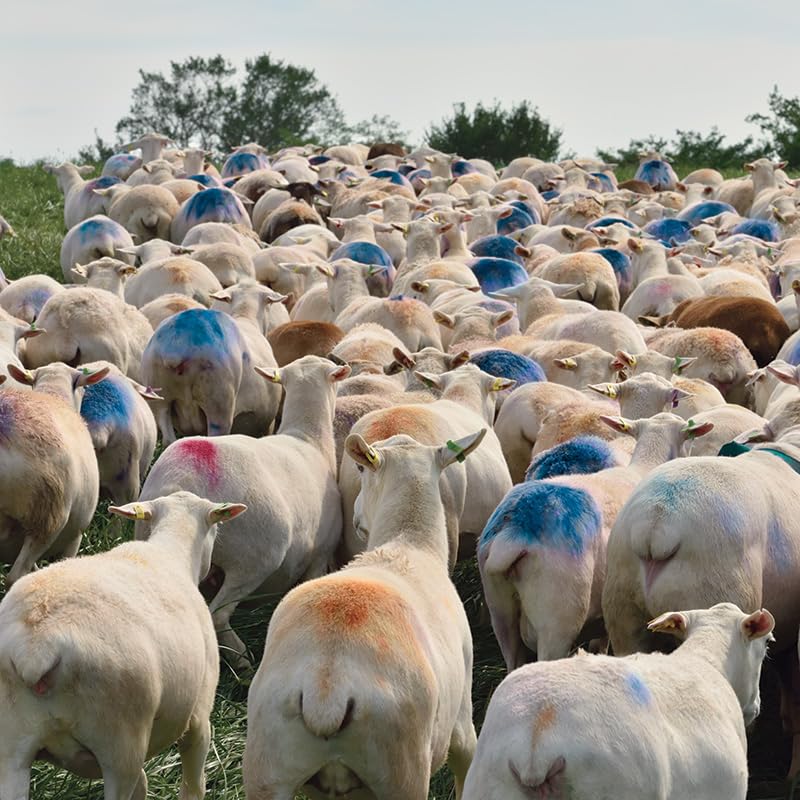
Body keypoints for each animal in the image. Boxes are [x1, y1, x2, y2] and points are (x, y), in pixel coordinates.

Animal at [0, 490, 246, 800]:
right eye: (215, 528)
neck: (170, 552)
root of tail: (36, 647)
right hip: (120, 745)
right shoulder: (199, 718)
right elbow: (194, 785)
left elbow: (144, 783)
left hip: (12, 747)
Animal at [138, 355, 350, 665]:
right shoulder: (320, 556)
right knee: (218, 615)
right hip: (254, 558)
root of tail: (187, 477)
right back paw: (242, 659)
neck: (307, 438)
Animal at [242, 430, 482, 800]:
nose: (354, 518)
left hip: (267, 768)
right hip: (402, 770)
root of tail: (326, 689)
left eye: (359, 469)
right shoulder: (462, 727)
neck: (406, 544)